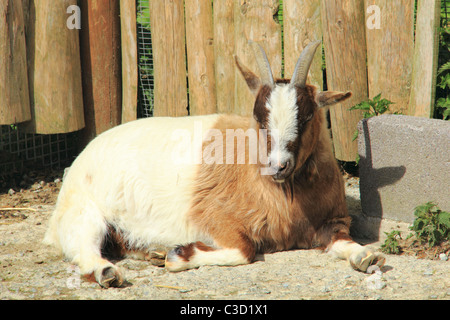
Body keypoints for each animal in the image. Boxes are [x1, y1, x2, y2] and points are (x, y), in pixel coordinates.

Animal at [44, 40, 384, 288]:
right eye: (259, 117)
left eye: (309, 115)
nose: (278, 166)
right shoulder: (214, 216)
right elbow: (244, 250)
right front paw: (179, 255)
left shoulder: (332, 222)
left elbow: (347, 243)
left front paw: (367, 257)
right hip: (84, 212)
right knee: (83, 246)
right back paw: (109, 273)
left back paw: (151, 251)